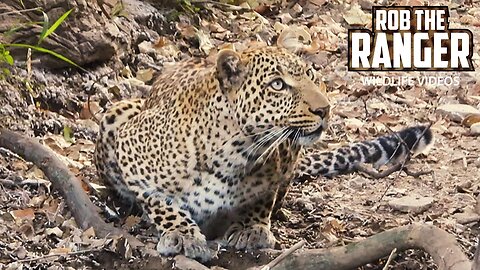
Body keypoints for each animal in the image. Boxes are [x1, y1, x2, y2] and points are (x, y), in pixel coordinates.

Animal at [93, 46, 432, 262]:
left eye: (311, 76)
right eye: (278, 85)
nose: (325, 109)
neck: (235, 153)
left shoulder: (278, 161)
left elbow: (260, 198)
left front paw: (251, 228)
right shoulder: (130, 147)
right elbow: (159, 200)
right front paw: (182, 233)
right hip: (118, 110)